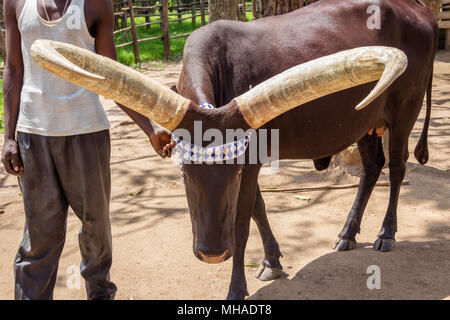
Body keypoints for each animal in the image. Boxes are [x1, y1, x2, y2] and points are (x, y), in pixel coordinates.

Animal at [30, 0, 436, 300]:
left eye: (235, 170)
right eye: (183, 171)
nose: (211, 253)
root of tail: (420, 10)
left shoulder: (252, 158)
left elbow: (241, 223)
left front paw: (237, 288)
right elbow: (257, 207)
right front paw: (272, 261)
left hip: (405, 107)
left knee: (396, 168)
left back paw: (385, 234)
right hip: (365, 119)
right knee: (372, 166)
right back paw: (348, 234)